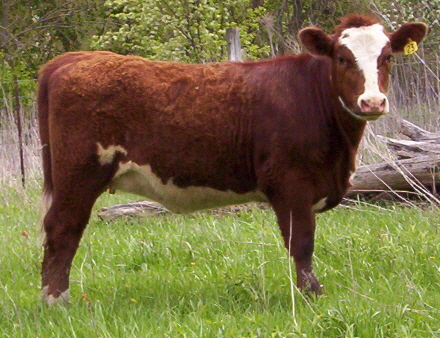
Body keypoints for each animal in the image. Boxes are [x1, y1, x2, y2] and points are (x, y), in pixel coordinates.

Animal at [37, 14, 426, 304]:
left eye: (388, 57)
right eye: (343, 58)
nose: (372, 102)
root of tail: (71, 59)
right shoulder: (291, 183)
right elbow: (301, 242)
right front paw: (311, 295)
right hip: (79, 175)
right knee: (62, 229)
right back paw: (56, 301)